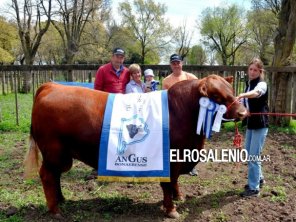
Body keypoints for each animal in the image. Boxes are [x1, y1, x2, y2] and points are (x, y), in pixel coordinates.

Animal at [24, 74, 247, 219]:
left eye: (231, 91)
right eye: (216, 96)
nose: (243, 112)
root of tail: (51, 86)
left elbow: (174, 182)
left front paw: (179, 197)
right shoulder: (168, 160)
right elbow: (168, 183)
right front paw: (171, 209)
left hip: (61, 155)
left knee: (55, 176)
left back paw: (61, 199)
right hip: (54, 152)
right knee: (48, 176)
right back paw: (55, 210)